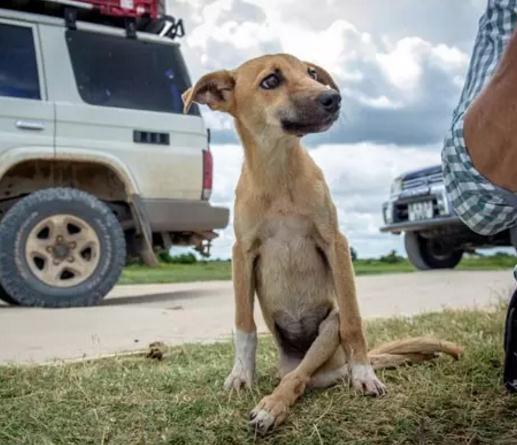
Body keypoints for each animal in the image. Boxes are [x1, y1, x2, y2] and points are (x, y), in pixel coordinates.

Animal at [183, 54, 462, 434]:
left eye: (312, 73)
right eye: (270, 81)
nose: (333, 98)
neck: (279, 173)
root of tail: (330, 369)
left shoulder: (335, 243)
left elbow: (354, 321)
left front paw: (365, 375)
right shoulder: (242, 251)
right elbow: (244, 324)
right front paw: (240, 376)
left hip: (327, 331)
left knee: (299, 378)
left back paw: (274, 406)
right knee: (295, 377)